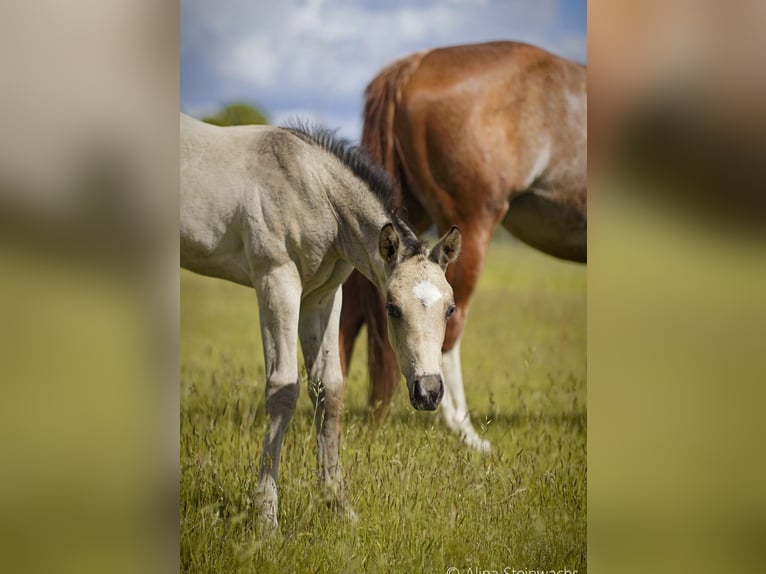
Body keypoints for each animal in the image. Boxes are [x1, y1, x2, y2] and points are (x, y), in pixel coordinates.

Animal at [180, 113, 462, 531]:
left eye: (450, 309)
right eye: (392, 307)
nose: (428, 392)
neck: (315, 192)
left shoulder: (323, 296)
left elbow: (329, 387)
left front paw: (339, 507)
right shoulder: (276, 282)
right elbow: (283, 389)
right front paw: (266, 518)